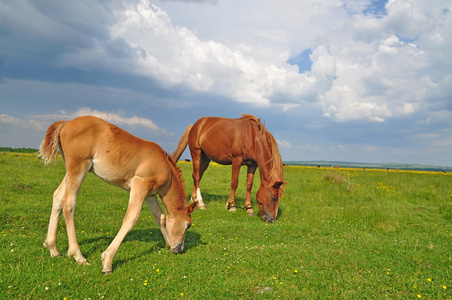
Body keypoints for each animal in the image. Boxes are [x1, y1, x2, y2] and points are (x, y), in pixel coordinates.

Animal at [40, 116, 198, 274]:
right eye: (188, 225)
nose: (179, 249)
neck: (165, 168)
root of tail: (67, 123)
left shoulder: (150, 195)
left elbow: (161, 218)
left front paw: (168, 243)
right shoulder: (140, 185)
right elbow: (131, 219)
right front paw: (107, 262)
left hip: (70, 170)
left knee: (57, 196)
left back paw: (52, 248)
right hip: (79, 167)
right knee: (68, 202)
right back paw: (78, 256)